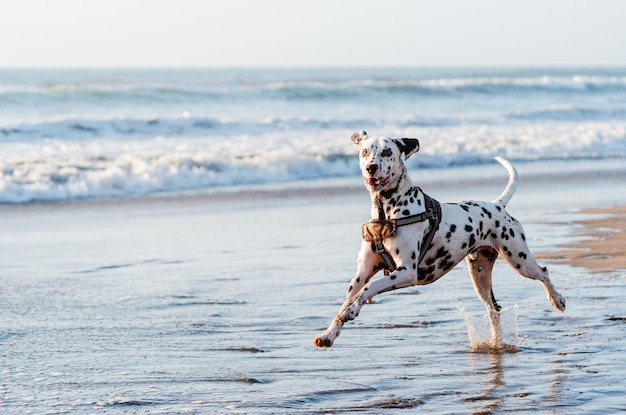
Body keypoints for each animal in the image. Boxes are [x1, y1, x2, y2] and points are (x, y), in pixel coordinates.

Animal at [314, 132, 564, 350]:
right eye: (365, 152)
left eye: (387, 151)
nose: (371, 167)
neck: (387, 212)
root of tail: (497, 205)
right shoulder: (362, 273)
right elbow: (350, 296)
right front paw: (329, 333)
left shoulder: (406, 272)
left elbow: (369, 288)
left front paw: (352, 310)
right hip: (480, 275)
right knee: (494, 309)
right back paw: (496, 342)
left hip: (519, 260)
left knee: (543, 272)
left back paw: (557, 300)